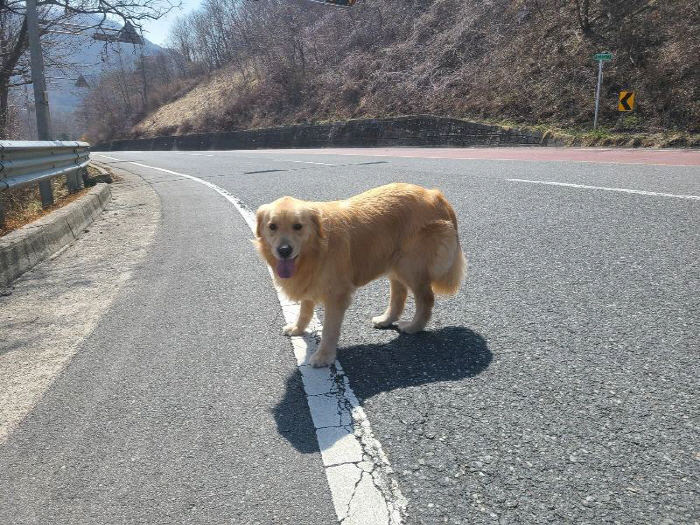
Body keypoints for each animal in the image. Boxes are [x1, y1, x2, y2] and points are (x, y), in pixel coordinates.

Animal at [254, 182, 468, 366]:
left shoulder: (337, 295)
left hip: (411, 266)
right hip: (394, 263)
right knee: (399, 295)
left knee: (426, 299)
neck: (316, 250)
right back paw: (386, 319)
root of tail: (435, 194)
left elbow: (329, 330)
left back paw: (414, 326)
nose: (284, 250)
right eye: (272, 226)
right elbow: (305, 310)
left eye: (298, 226)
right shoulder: (310, 283)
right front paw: (298, 328)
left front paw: (323, 356)